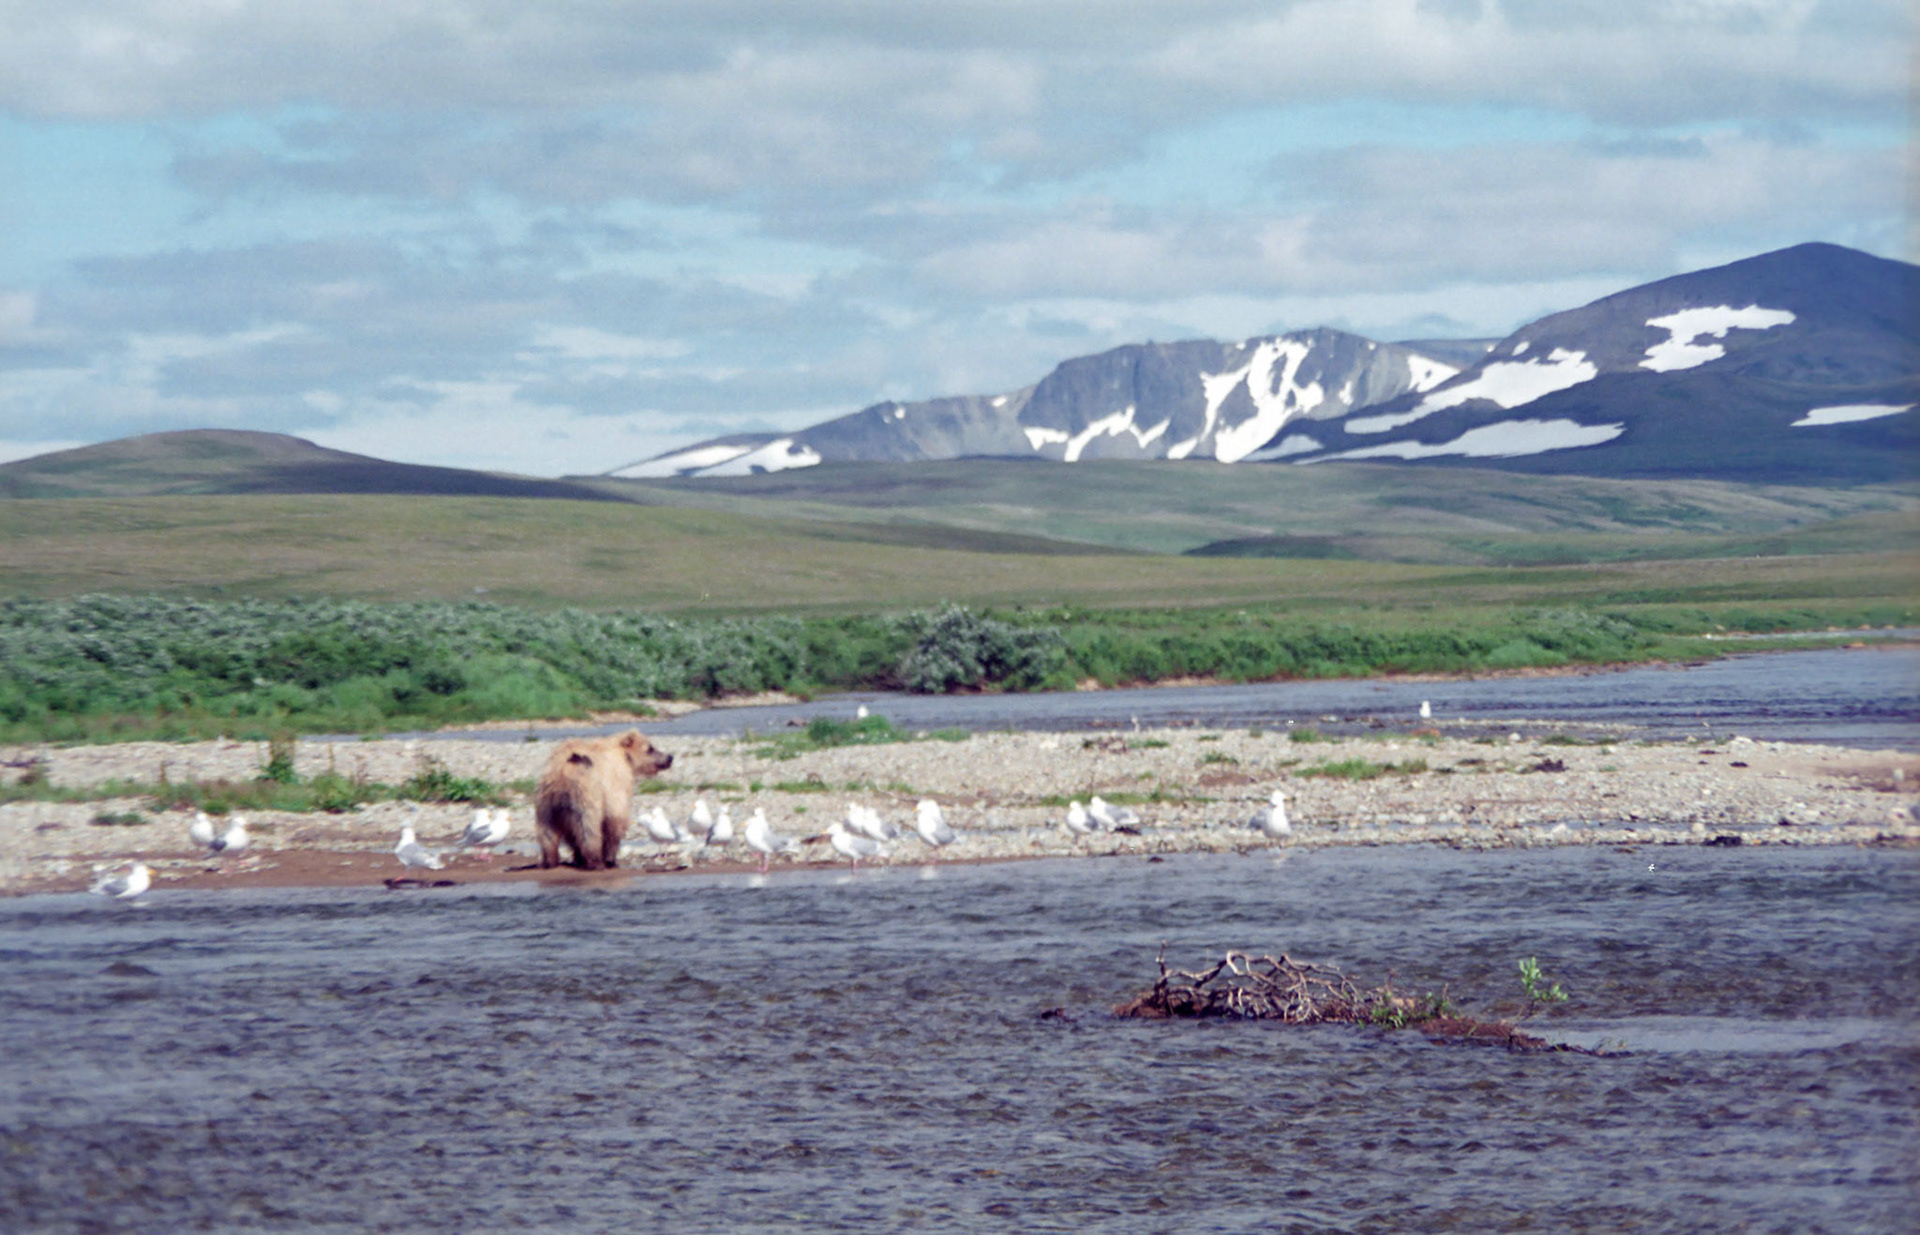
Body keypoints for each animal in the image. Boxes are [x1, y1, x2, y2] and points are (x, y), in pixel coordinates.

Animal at [534, 730, 674, 869]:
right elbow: (615, 817)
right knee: (588, 828)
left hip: (547, 803)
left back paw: (550, 860)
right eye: (650, 748)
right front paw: (611, 859)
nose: (669, 757)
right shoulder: (615, 783)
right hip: (585, 796)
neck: (625, 758)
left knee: (547, 831)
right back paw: (595, 861)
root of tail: (561, 772)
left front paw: (580, 858)